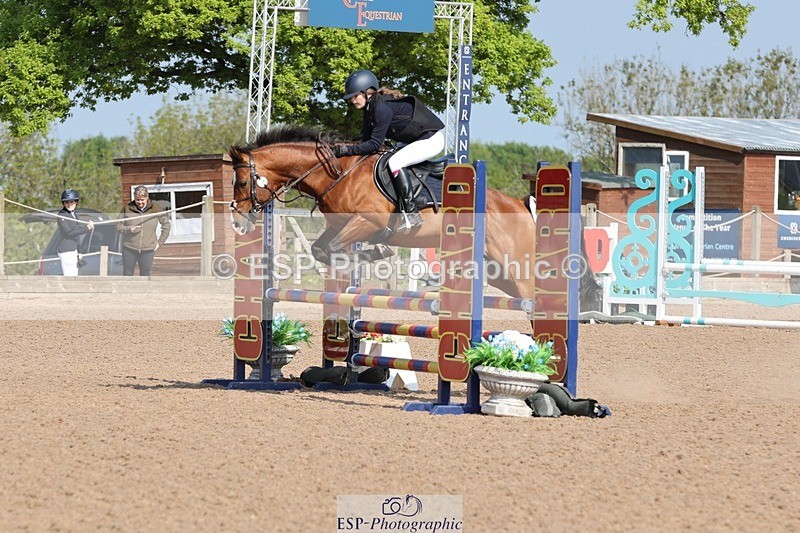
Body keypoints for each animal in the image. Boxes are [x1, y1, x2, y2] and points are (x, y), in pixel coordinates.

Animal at [227, 124, 601, 316]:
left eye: (243, 182)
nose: (239, 224)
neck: (337, 172)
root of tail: (522, 206)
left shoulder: (368, 222)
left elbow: (334, 247)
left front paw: (371, 255)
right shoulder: (338, 225)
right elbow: (321, 248)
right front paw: (366, 258)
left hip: (518, 267)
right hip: (499, 273)